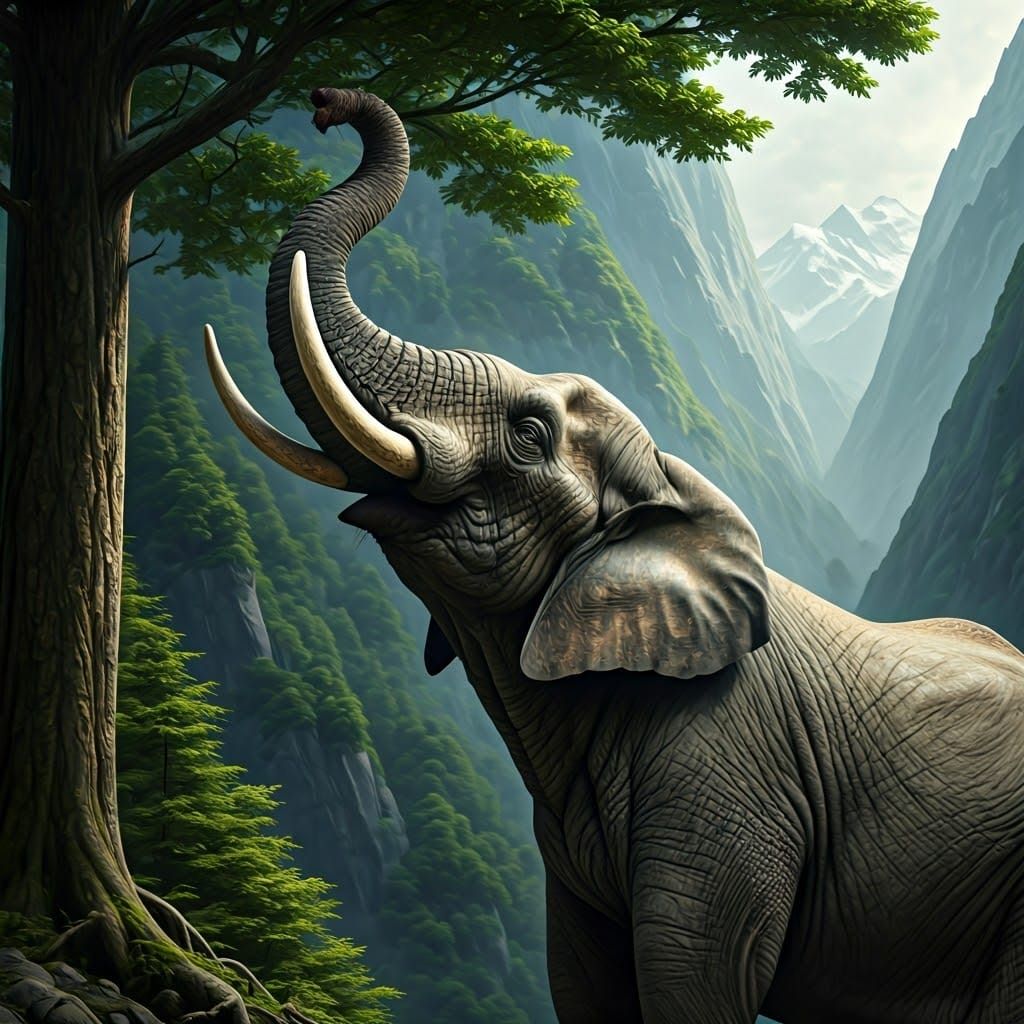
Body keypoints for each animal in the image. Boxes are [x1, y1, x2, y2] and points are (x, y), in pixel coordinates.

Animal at [203, 87, 1024, 1024]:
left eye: (530, 435)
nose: (329, 106)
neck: (666, 494)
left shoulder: (728, 779)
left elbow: (692, 979)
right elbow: (582, 980)